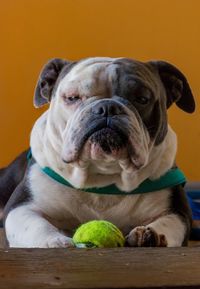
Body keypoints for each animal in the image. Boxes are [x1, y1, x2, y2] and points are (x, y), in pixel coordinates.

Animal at [0, 57, 195, 246]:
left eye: (142, 99)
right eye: (72, 97)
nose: (107, 107)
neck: (103, 176)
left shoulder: (177, 212)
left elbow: (168, 224)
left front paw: (149, 234)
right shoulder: (22, 207)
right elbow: (35, 225)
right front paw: (53, 241)